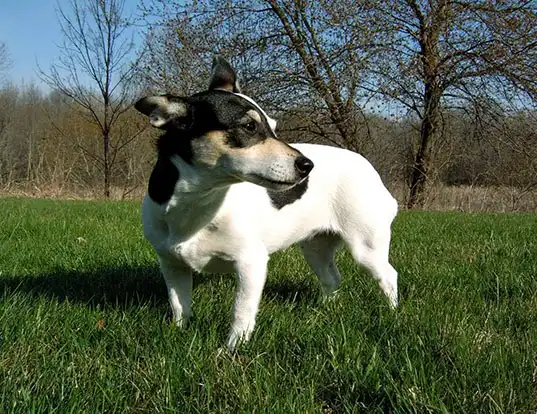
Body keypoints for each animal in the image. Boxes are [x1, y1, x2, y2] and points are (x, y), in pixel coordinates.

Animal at [135, 56, 398, 350]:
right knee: (332, 278)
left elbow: (241, 312)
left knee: (389, 276)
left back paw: (392, 313)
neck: (200, 202)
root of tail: (371, 170)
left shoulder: (251, 265)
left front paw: (231, 349)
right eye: (250, 127)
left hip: (366, 248)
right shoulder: (172, 266)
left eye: (273, 127)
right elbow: (179, 305)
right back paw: (323, 311)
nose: (307, 165)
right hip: (315, 249)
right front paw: (180, 332)